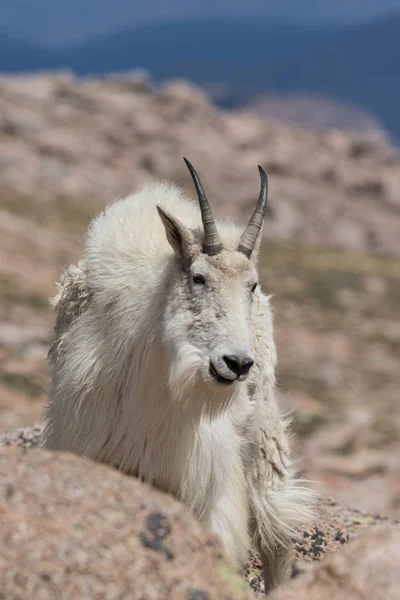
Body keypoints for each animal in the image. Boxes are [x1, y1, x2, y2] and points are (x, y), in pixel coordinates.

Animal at [43, 158, 316, 592]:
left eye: (251, 285)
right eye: (198, 278)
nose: (236, 364)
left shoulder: (204, 479)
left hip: (262, 438)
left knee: (275, 537)